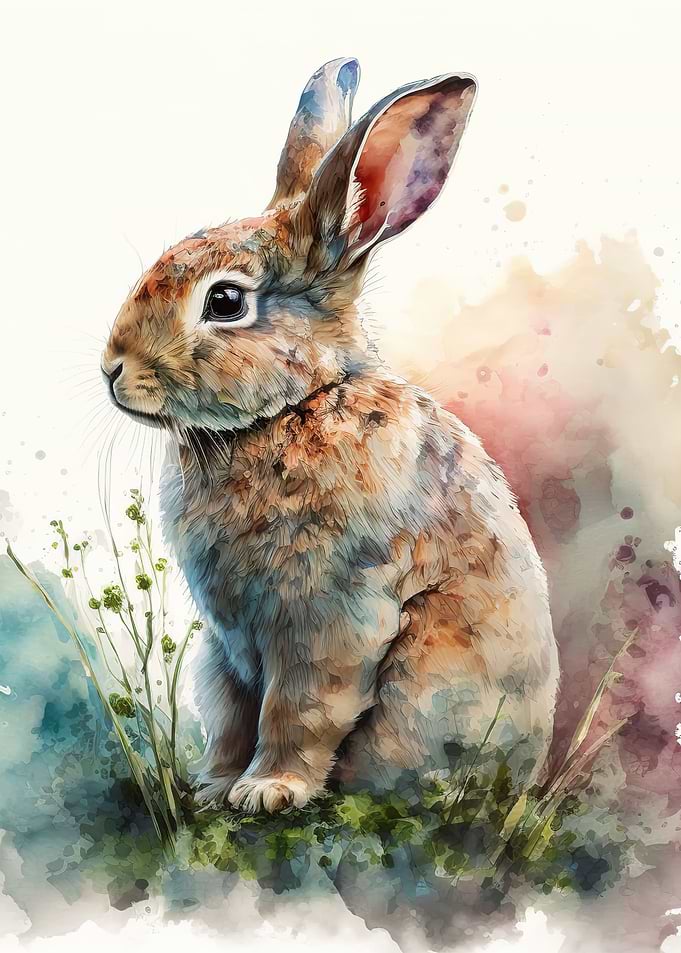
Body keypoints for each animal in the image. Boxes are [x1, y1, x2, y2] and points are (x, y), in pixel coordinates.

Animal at [101, 57, 559, 814]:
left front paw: (267, 792)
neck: (295, 406)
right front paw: (215, 788)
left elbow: (299, 710)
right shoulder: (227, 646)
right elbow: (232, 715)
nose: (112, 369)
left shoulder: (329, 617)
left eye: (224, 301)